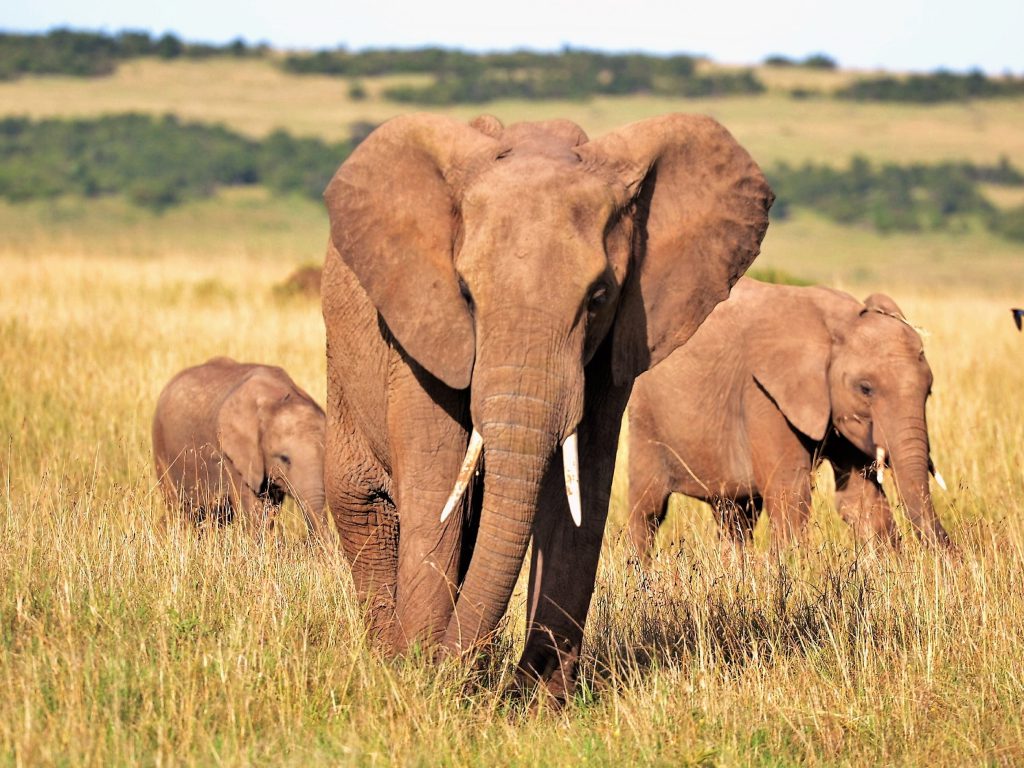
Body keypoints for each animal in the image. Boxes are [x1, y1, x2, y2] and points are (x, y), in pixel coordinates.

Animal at [152, 357, 333, 545]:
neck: (276, 398)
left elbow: (270, 508)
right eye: (284, 459)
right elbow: (254, 508)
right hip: (160, 445)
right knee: (178, 509)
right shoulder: (232, 455)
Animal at [320, 112, 773, 700]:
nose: (445, 668)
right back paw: (387, 660)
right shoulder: (419, 330)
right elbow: (436, 485)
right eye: (465, 293)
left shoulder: (613, 346)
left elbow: (581, 496)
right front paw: (419, 680)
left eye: (598, 297)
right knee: (365, 506)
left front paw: (538, 702)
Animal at [626, 278, 953, 560]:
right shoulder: (763, 393)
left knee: (736, 515)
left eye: (929, 390)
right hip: (645, 416)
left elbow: (860, 499)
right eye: (865, 388)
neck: (838, 323)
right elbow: (791, 494)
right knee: (648, 509)